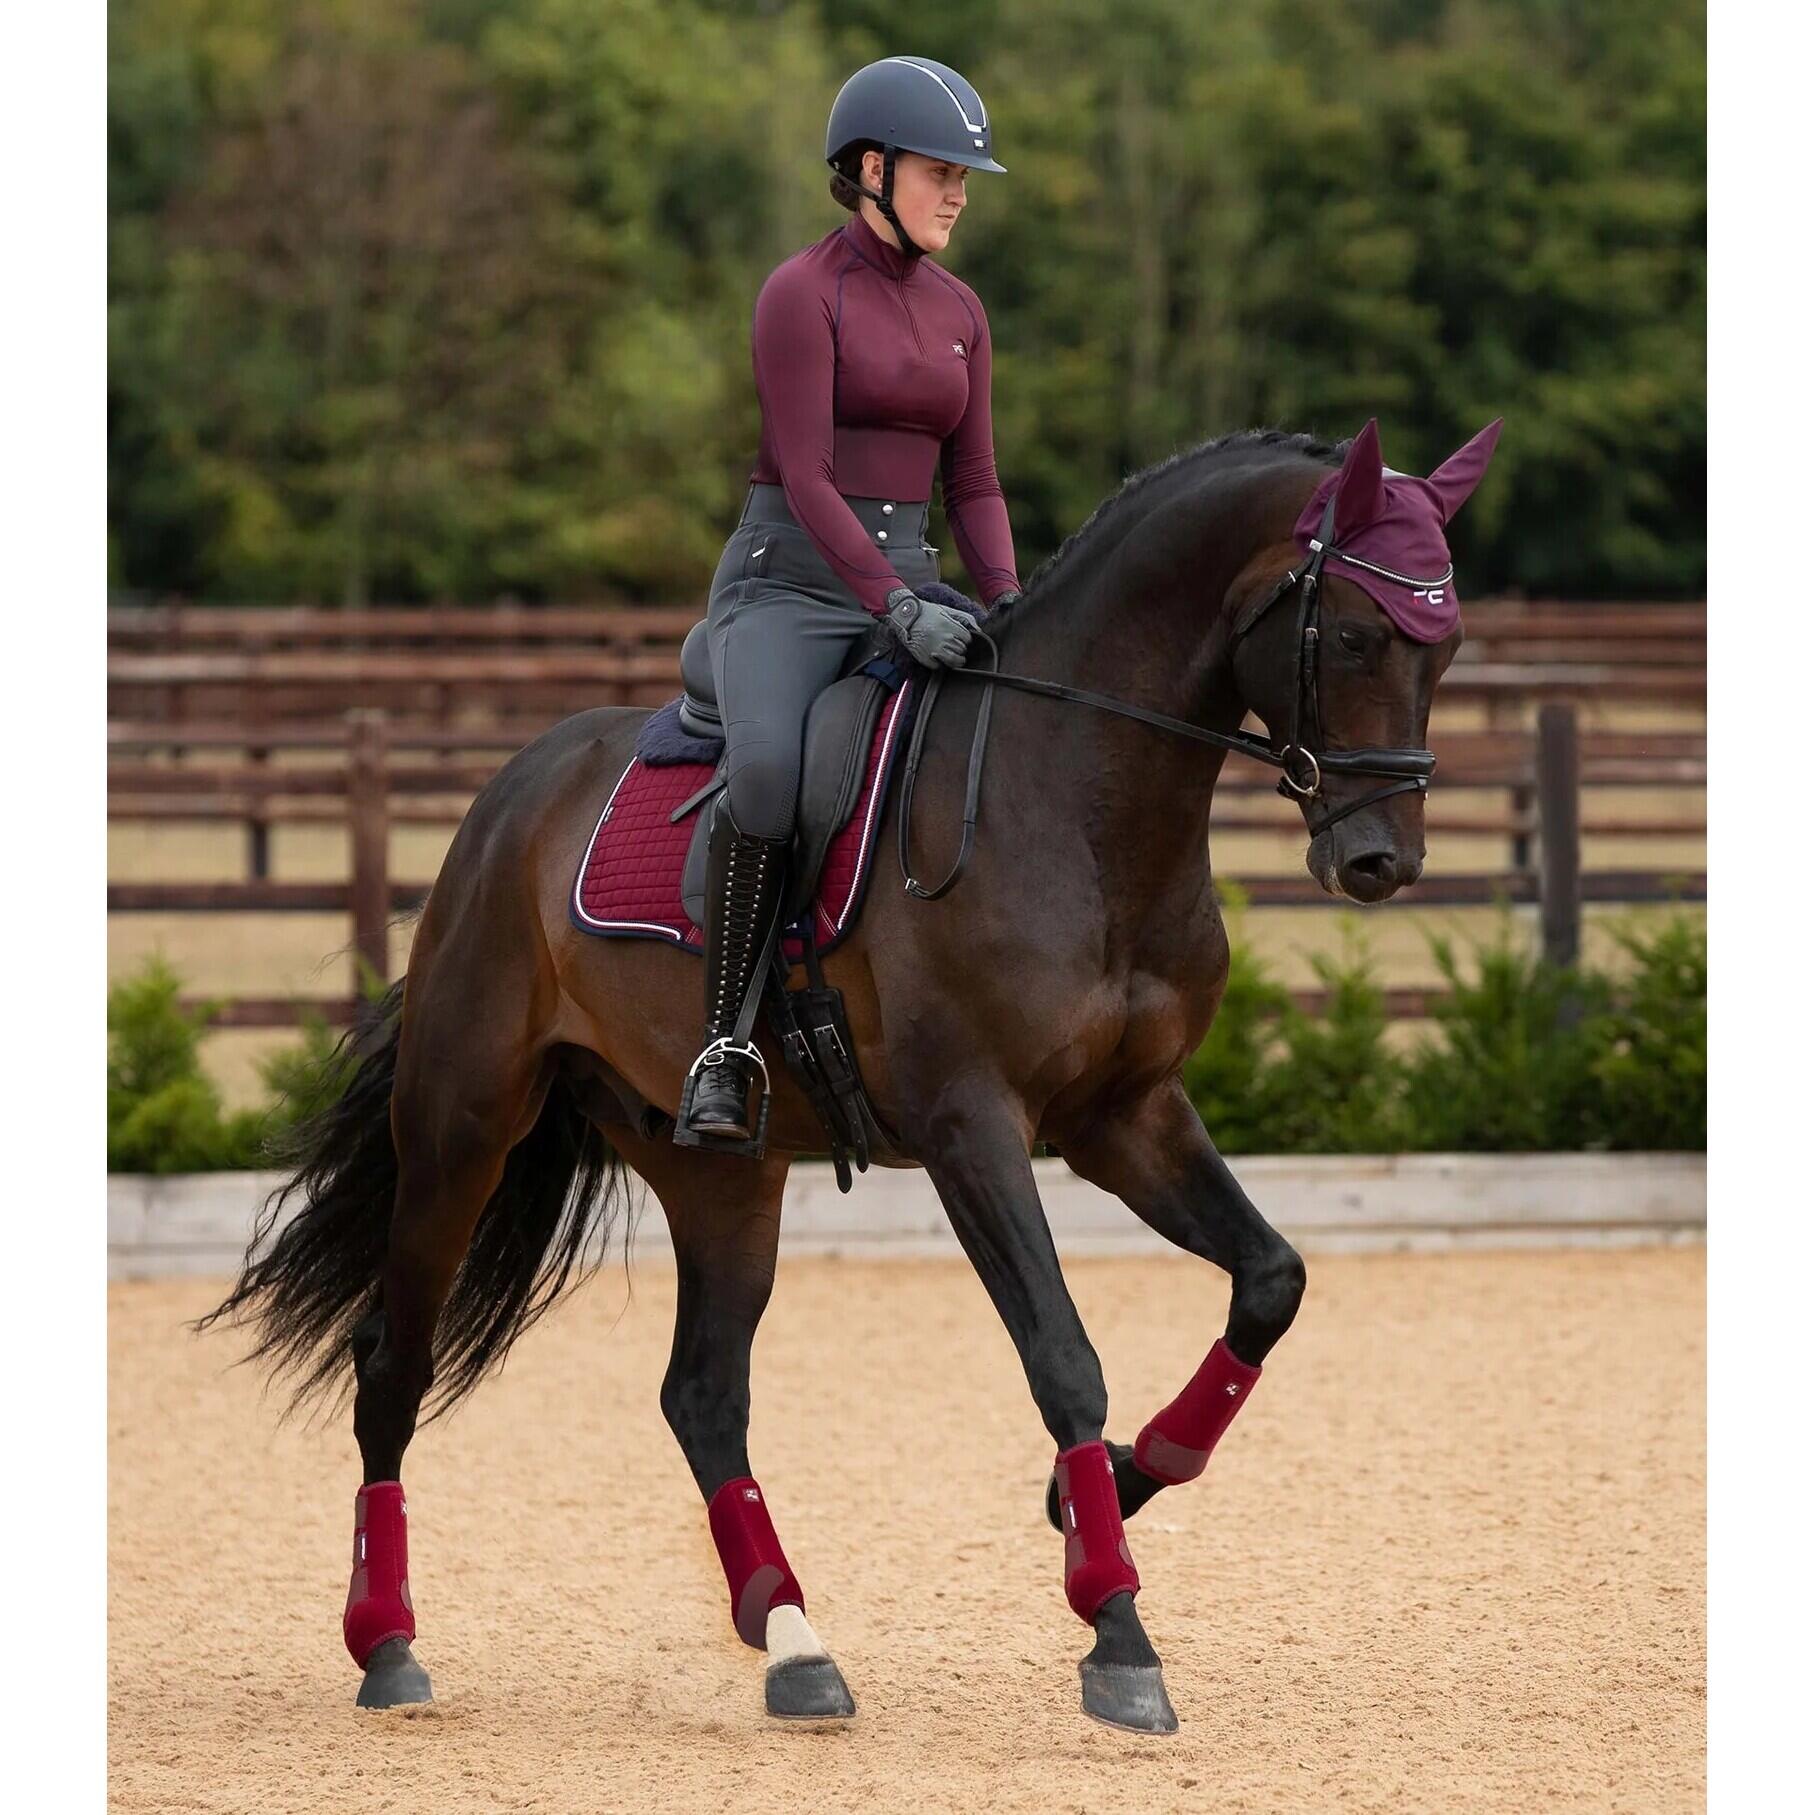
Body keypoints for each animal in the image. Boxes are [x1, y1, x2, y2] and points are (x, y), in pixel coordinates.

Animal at [204, 418, 1496, 1734]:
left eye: (1445, 647)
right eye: (1353, 633)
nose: (1380, 861)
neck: (1080, 792)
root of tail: (513, 792)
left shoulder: (1123, 1116)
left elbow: (1271, 1281)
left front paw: (1128, 1482)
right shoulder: (973, 1124)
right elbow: (1063, 1357)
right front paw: (1118, 1630)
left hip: (719, 1172)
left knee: (703, 1393)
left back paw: (792, 1642)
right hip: (463, 1126)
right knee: (393, 1361)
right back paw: (387, 1643)